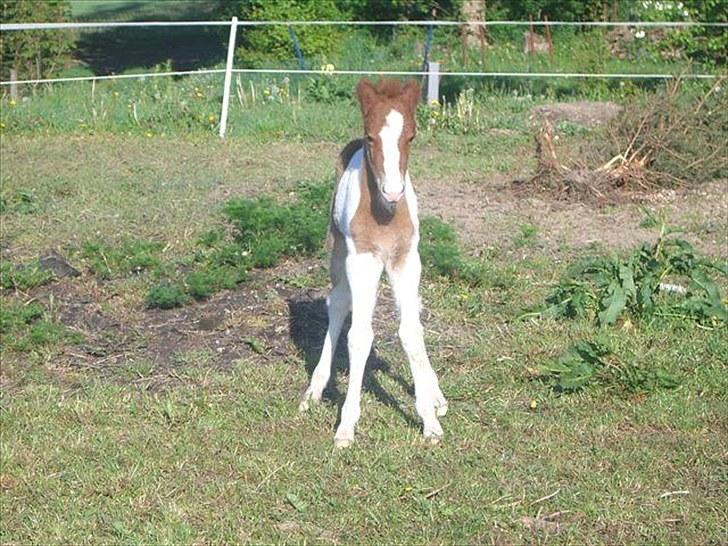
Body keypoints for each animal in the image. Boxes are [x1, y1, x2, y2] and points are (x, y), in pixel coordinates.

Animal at [298, 78, 446, 444]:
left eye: (412, 136)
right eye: (370, 136)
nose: (393, 192)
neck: (385, 214)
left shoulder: (406, 260)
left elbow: (411, 332)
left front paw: (429, 420)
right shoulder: (361, 261)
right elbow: (360, 336)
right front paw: (346, 426)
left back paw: (436, 394)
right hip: (340, 253)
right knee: (338, 302)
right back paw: (314, 390)